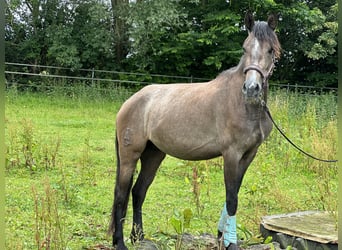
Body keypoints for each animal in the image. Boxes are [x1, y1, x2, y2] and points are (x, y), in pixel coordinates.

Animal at [109, 12, 280, 250]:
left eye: (270, 50)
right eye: (245, 48)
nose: (251, 89)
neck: (243, 105)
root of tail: (129, 102)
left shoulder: (248, 155)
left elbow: (233, 194)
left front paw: (222, 236)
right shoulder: (231, 154)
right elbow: (231, 199)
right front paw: (230, 242)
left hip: (154, 155)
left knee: (138, 191)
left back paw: (139, 237)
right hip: (129, 156)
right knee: (120, 194)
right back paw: (120, 242)